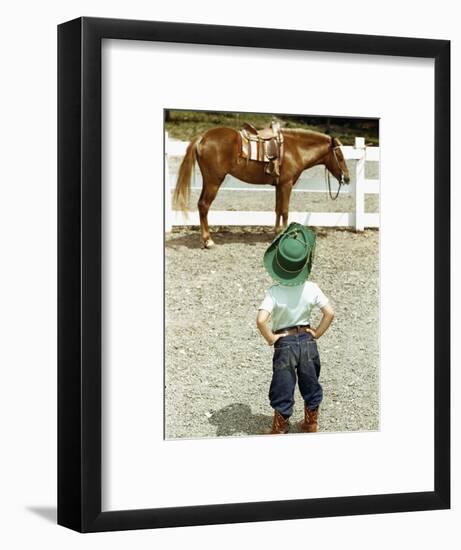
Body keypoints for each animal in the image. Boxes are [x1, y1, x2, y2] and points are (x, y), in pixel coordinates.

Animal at [172, 127, 348, 248]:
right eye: (339, 156)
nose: (347, 178)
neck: (295, 150)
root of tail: (203, 137)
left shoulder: (279, 186)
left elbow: (278, 210)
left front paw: (277, 234)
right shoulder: (287, 184)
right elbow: (285, 210)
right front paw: (285, 235)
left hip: (208, 181)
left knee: (201, 205)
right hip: (213, 181)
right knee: (204, 205)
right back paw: (208, 241)